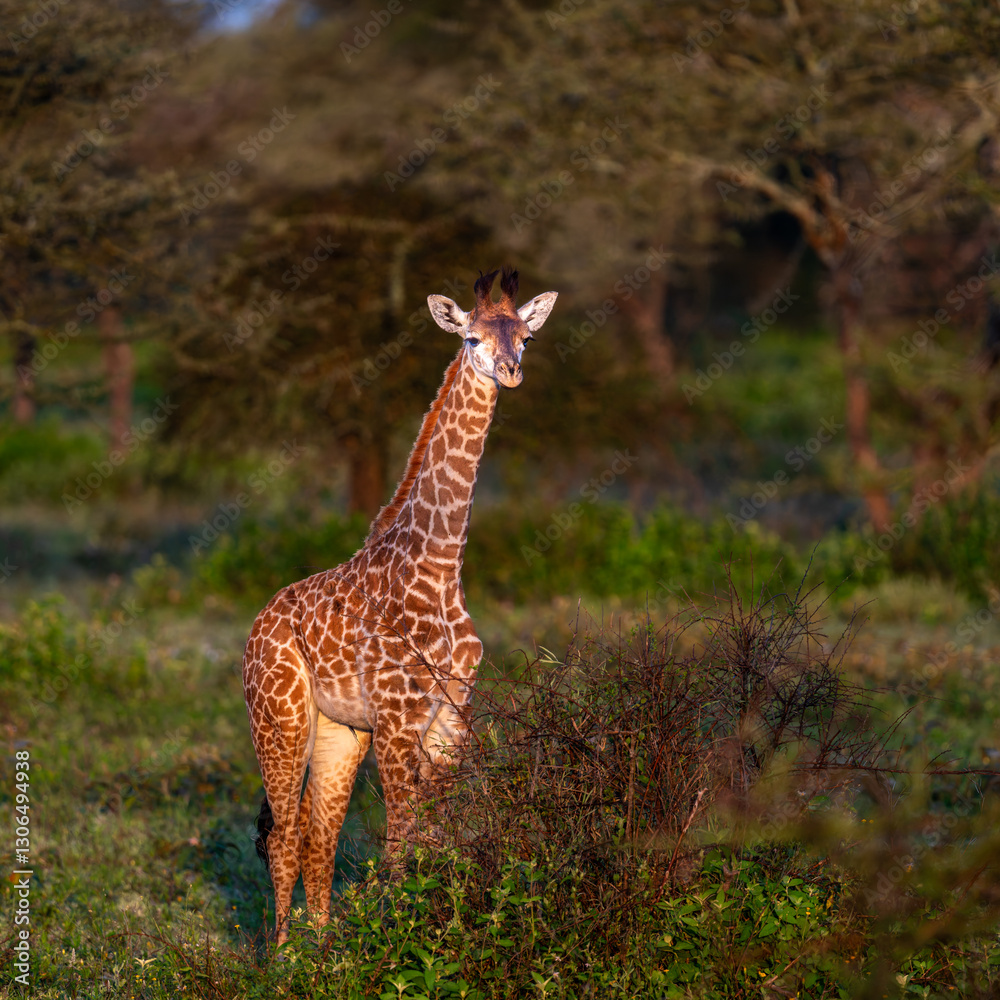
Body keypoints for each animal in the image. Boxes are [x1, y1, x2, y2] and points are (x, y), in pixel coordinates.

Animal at [242, 266, 558, 943]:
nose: (510, 371)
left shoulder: (450, 715)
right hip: (280, 719)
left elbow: (434, 839)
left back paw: (321, 950)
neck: (439, 565)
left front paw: (432, 933)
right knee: (283, 836)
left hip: (340, 732)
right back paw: (281, 955)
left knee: (318, 837)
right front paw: (398, 938)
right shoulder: (397, 716)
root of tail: (257, 626)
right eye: (470, 337)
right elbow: (400, 846)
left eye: (525, 336)